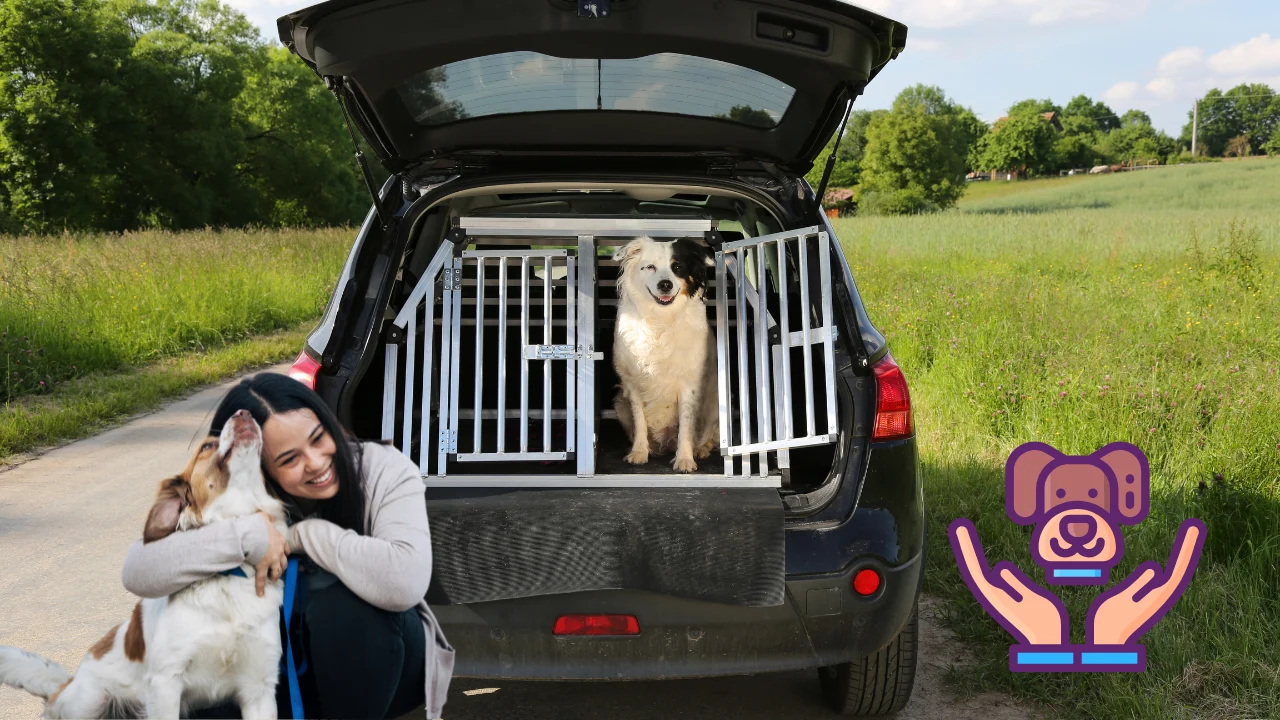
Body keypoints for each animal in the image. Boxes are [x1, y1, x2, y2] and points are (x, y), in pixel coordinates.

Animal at [0, 409, 289, 717]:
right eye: (206, 446)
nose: (243, 413)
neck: (227, 574)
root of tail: (65, 684)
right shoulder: (166, 683)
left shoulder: (259, 688)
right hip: (90, 700)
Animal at [611, 237, 721, 471]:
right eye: (650, 267)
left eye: (677, 268)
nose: (665, 284)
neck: (661, 319)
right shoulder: (634, 384)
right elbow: (640, 421)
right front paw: (639, 452)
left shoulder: (690, 383)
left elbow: (687, 425)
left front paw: (685, 459)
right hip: (620, 404)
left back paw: (700, 450)